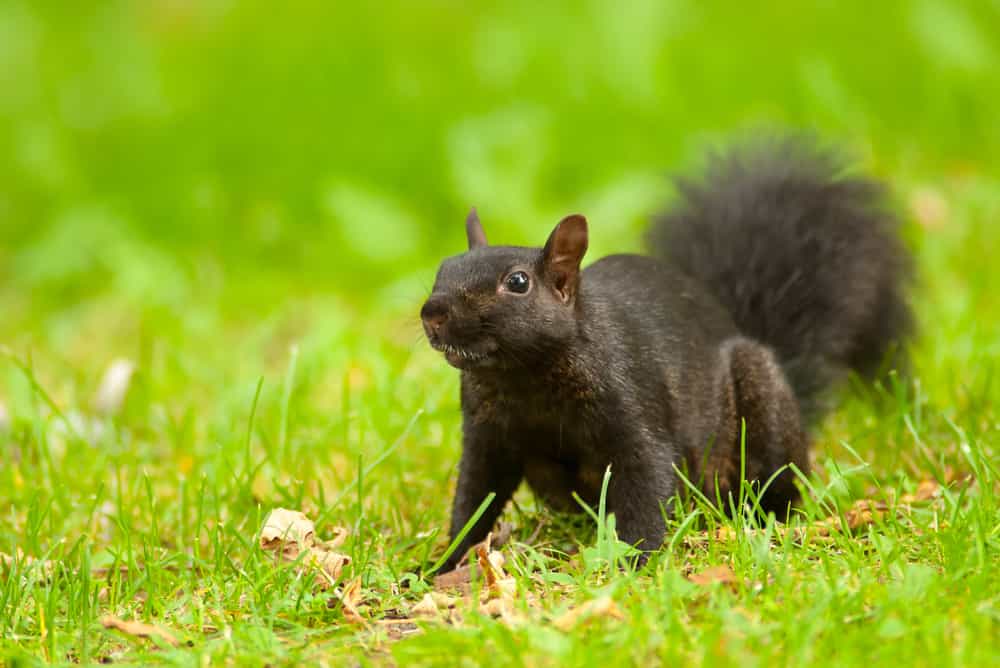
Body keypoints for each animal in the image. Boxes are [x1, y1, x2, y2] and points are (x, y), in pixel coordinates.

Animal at [422, 134, 916, 568]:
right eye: (442, 269)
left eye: (518, 282)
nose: (432, 313)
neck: (523, 375)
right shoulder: (486, 433)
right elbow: (475, 498)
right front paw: (444, 564)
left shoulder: (632, 401)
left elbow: (648, 477)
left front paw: (633, 562)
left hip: (760, 406)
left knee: (775, 481)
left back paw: (769, 517)